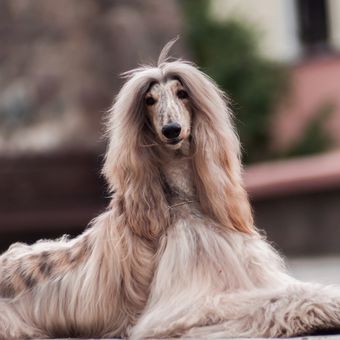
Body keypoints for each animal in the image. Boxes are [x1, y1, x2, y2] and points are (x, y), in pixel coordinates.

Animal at [0, 39, 340, 338]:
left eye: (182, 93)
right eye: (149, 100)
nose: (172, 130)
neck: (185, 203)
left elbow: (290, 288)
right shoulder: (185, 308)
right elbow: (268, 301)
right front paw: (319, 309)